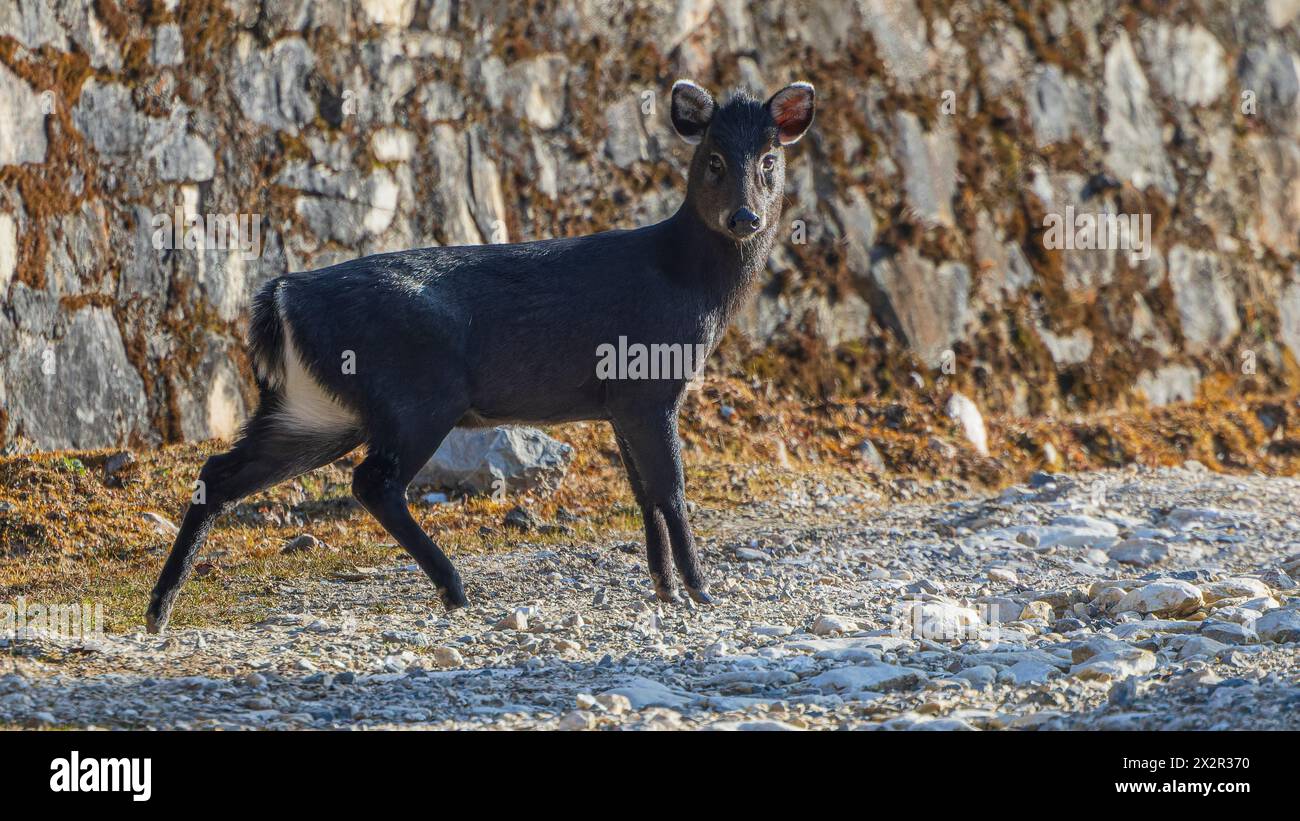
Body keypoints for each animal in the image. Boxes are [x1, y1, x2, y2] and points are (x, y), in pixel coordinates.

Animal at [142, 80, 811, 631]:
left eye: (770, 160)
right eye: (715, 159)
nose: (745, 216)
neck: (687, 286)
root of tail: (278, 297)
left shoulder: (620, 401)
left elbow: (643, 490)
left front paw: (666, 587)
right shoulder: (648, 382)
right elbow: (670, 488)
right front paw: (699, 589)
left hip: (315, 410)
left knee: (220, 473)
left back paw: (160, 607)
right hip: (417, 395)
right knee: (372, 482)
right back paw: (454, 589)